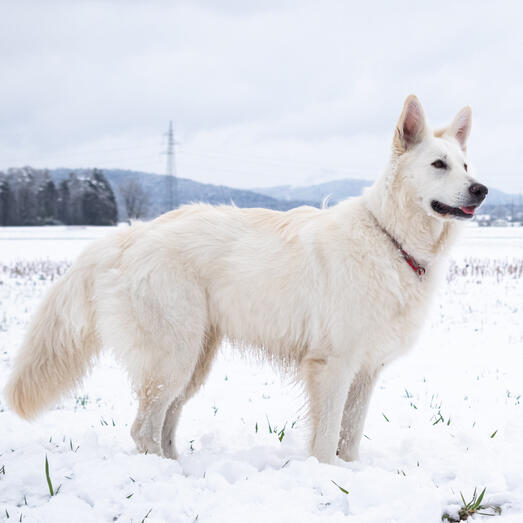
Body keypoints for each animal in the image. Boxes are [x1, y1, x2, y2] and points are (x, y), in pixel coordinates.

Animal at [4, 96, 490, 464]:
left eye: (467, 165)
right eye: (439, 164)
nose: (481, 189)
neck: (389, 237)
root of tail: (128, 235)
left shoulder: (366, 371)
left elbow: (350, 435)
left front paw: (351, 473)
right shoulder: (332, 366)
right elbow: (328, 436)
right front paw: (327, 474)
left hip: (194, 361)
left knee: (164, 425)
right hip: (172, 357)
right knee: (143, 428)